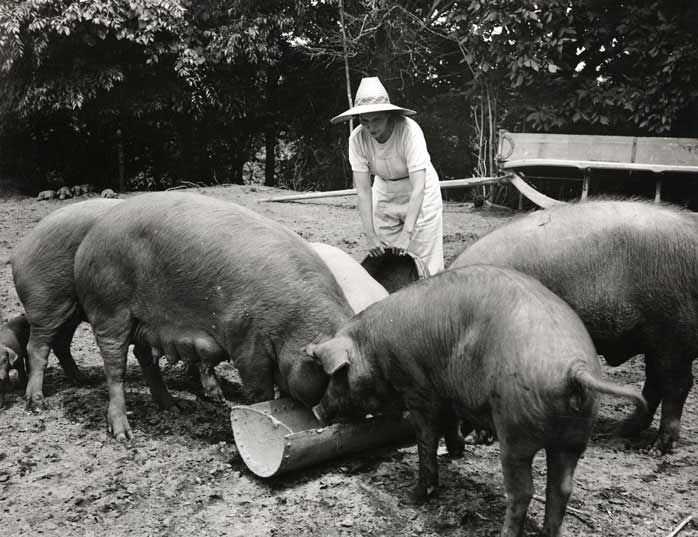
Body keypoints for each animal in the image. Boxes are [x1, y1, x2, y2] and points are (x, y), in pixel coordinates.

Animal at [10, 197, 175, 410]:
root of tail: (19, 250)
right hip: (44, 304)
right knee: (37, 348)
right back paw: (38, 402)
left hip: (70, 313)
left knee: (61, 344)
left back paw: (84, 380)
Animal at [73, 192, 354, 440]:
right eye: (333, 377)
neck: (292, 326)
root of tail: (88, 241)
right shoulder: (247, 342)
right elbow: (260, 390)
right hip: (109, 310)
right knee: (115, 369)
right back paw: (124, 435)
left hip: (144, 323)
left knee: (143, 355)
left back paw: (173, 408)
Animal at [308, 266, 644, 536]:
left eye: (337, 375)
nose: (317, 409)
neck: (375, 349)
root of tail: (575, 368)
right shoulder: (447, 394)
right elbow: (450, 424)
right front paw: (456, 452)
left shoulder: (419, 391)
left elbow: (426, 440)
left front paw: (414, 496)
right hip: (575, 436)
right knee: (561, 488)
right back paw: (550, 532)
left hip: (515, 431)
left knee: (523, 491)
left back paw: (504, 533)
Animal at [448, 198, 696, 452]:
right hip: (656, 341)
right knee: (655, 383)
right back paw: (622, 431)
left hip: (673, 332)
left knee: (677, 384)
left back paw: (658, 447)